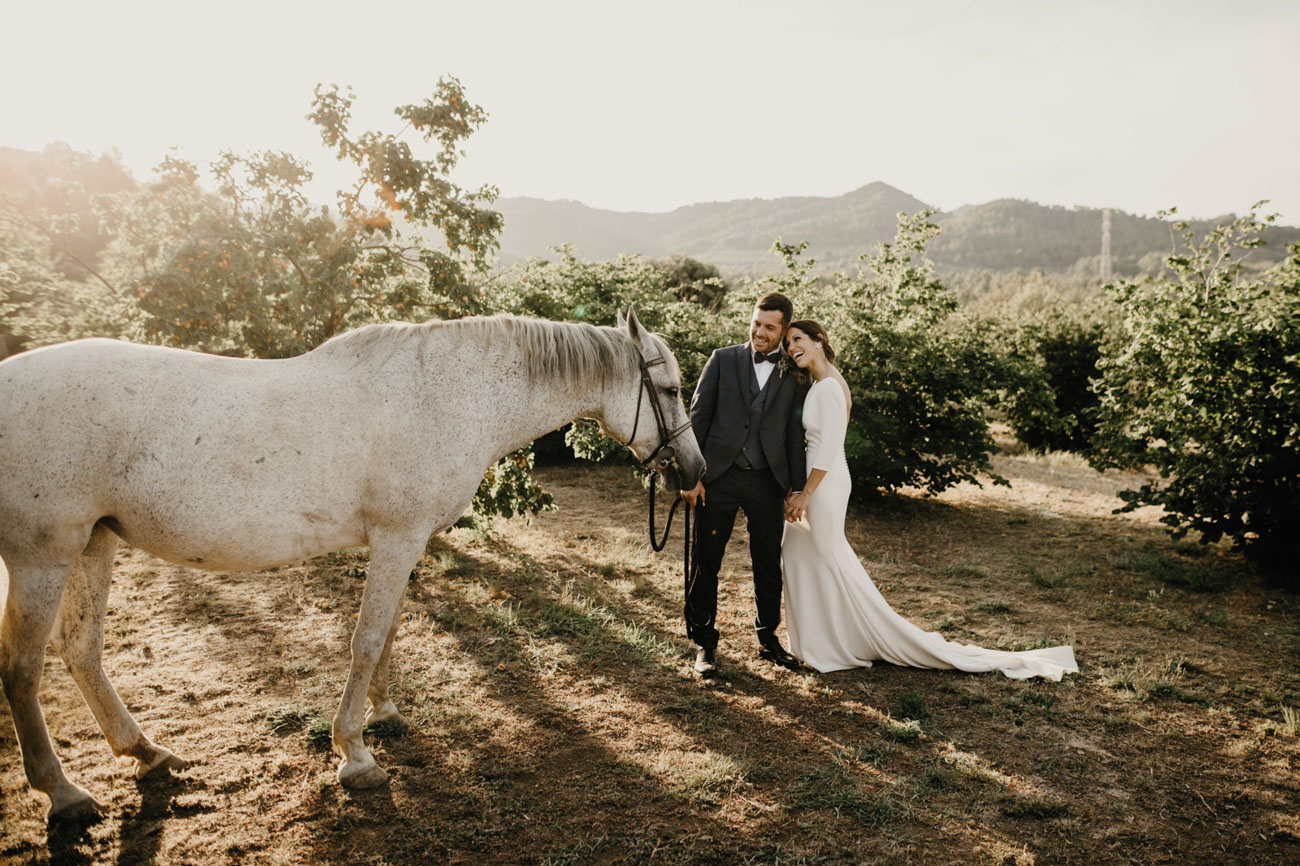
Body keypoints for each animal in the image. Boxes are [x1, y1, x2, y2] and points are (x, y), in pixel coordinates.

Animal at [0, 306, 707, 821]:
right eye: (671, 389)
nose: (695, 472)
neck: (449, 395)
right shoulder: (397, 538)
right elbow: (366, 640)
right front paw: (355, 754)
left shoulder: (404, 542)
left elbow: (389, 631)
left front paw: (384, 714)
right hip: (43, 558)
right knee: (22, 670)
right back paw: (64, 795)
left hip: (94, 543)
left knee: (81, 651)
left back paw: (145, 752)